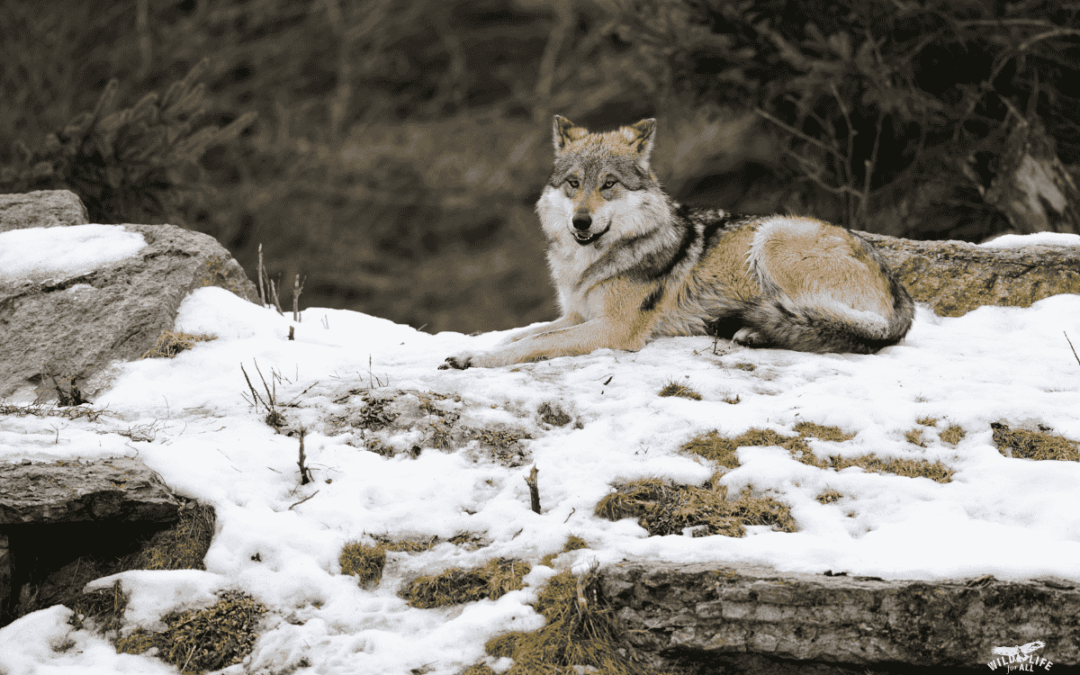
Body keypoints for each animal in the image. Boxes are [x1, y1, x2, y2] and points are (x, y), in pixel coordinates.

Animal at [440, 116, 914, 370]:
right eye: (574, 183)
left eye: (608, 184)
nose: (581, 220)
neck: (591, 262)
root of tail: (902, 294)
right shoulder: (577, 314)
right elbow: (520, 334)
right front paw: (468, 352)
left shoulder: (614, 327)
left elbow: (533, 344)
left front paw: (475, 362)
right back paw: (752, 333)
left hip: (771, 237)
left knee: (837, 327)